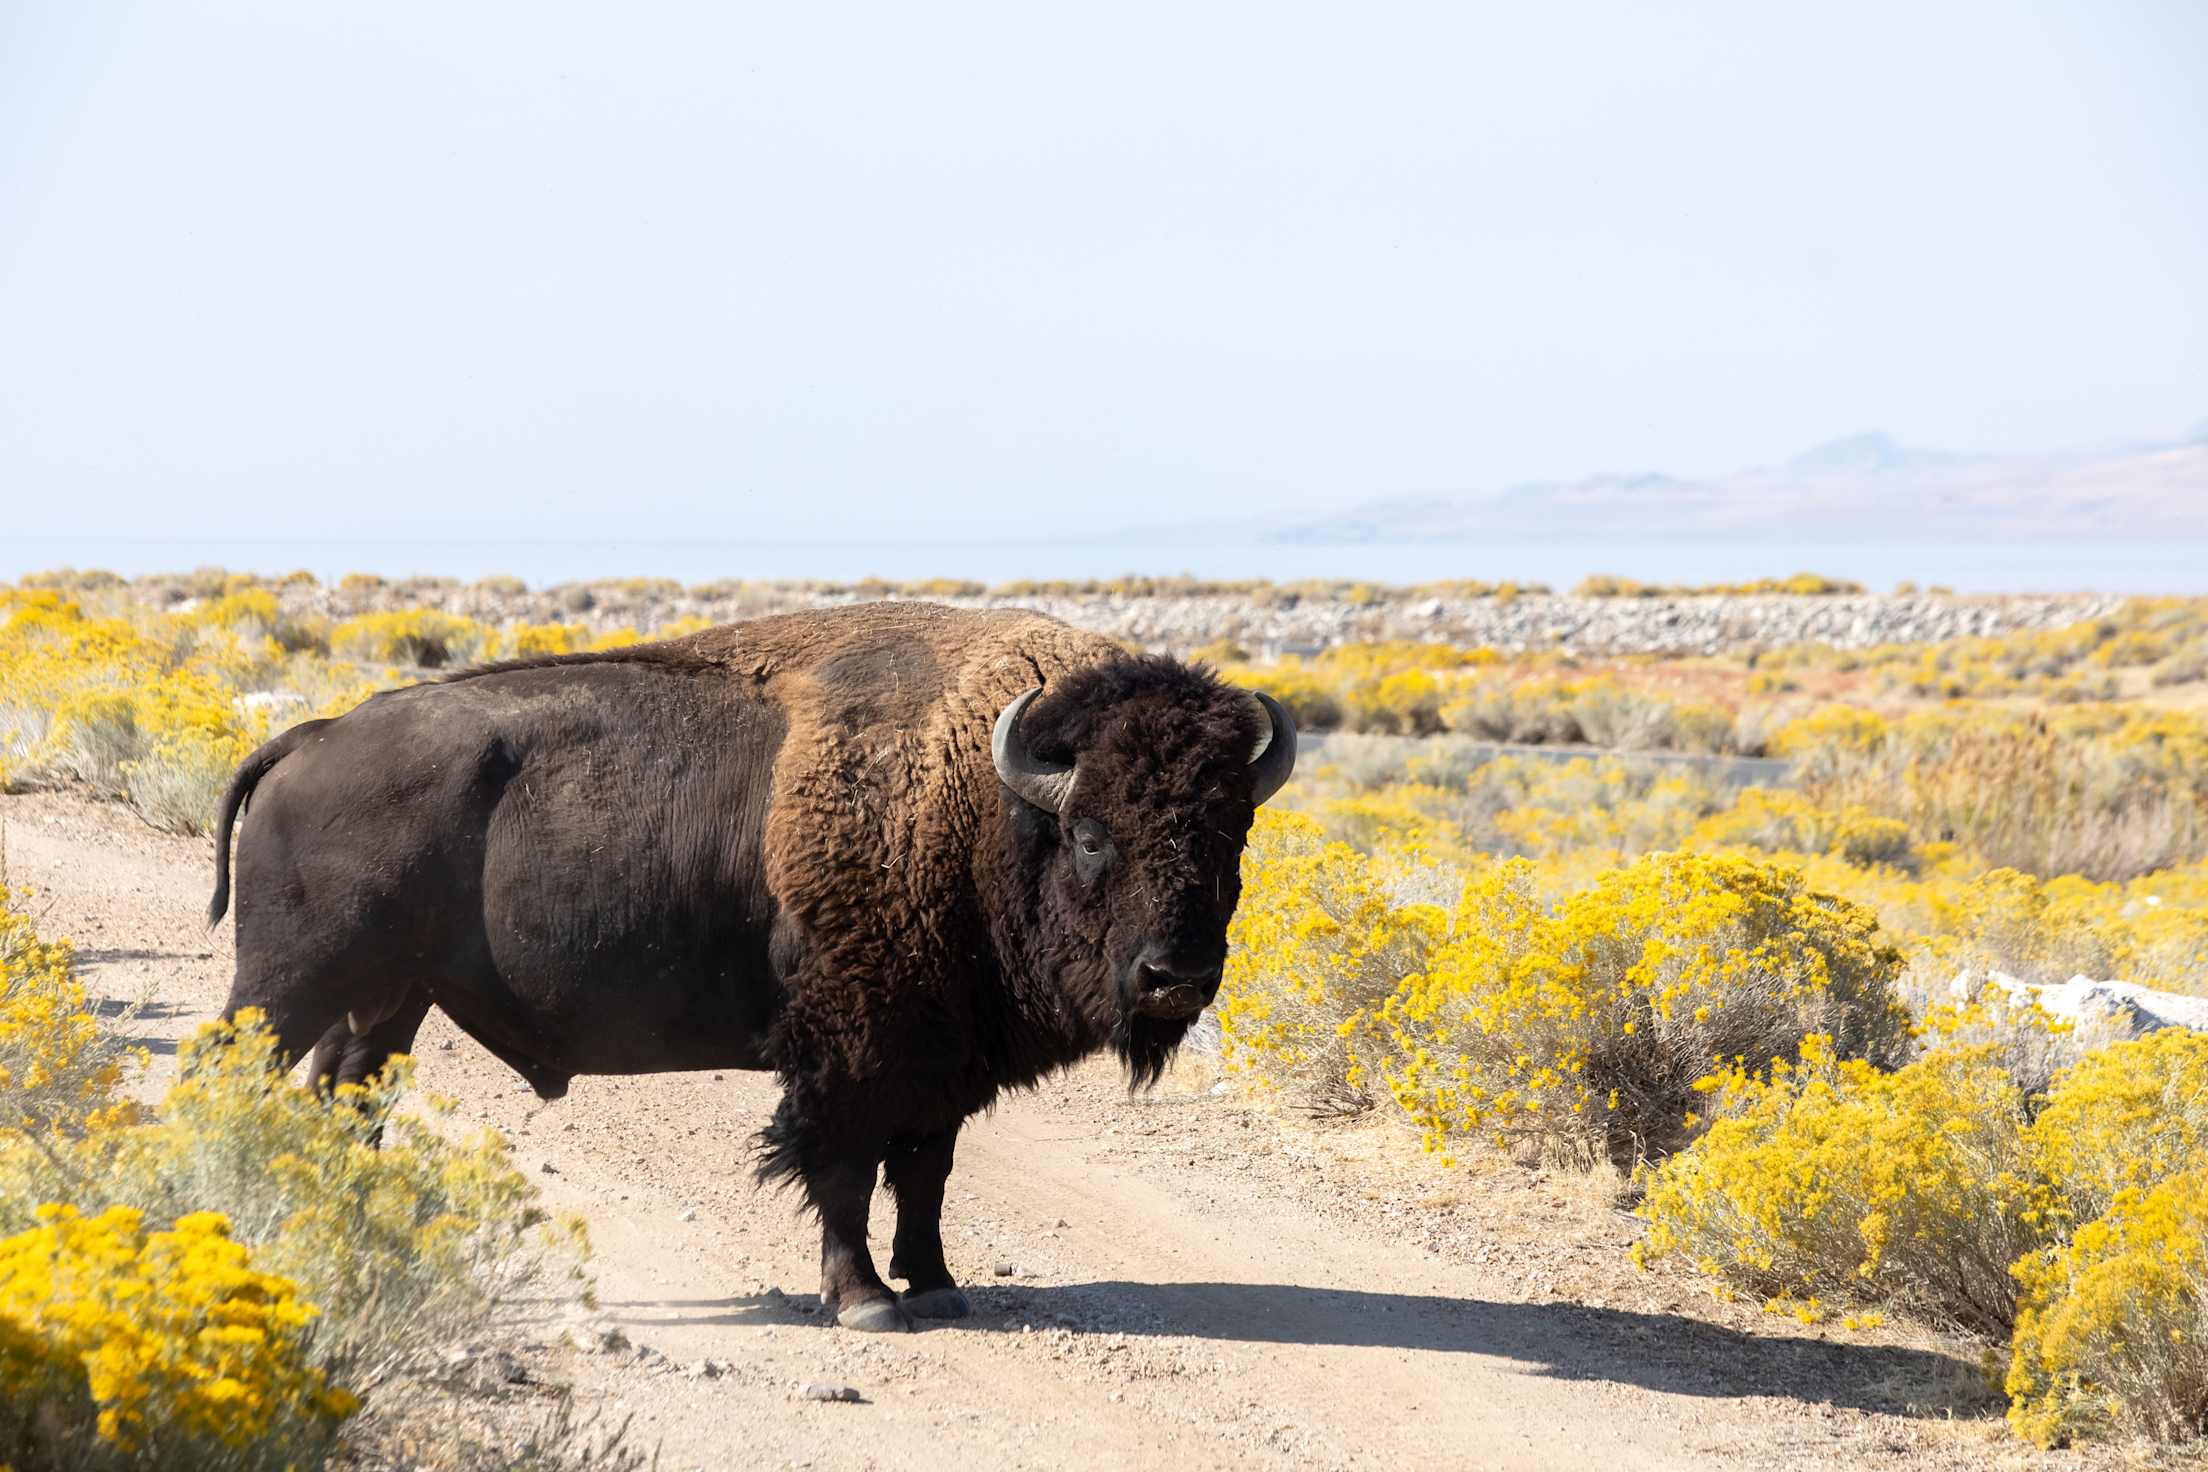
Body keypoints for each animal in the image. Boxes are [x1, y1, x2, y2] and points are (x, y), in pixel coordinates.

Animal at [208, 602, 1294, 1330]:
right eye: (1092, 834)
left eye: (1232, 829)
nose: (1177, 976)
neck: (984, 803)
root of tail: (312, 738)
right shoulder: (850, 1053)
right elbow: (845, 1171)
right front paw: (865, 1300)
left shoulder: (938, 1057)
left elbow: (926, 1171)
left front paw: (938, 1284)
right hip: (290, 985)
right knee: (239, 1071)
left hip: (392, 996)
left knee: (349, 1091)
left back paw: (344, 1209)